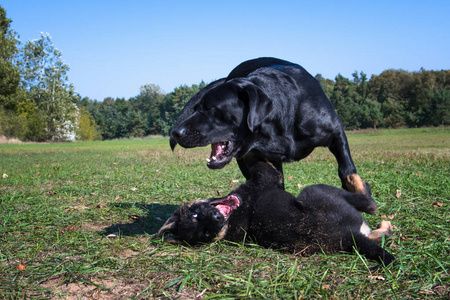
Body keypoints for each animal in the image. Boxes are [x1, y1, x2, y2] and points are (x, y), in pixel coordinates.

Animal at [157, 162, 394, 270]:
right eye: (205, 234)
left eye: (196, 214)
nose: (216, 219)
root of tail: (348, 237)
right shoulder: (266, 174)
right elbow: (263, 165)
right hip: (316, 191)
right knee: (370, 204)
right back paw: (357, 183)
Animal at [170, 56, 376, 211]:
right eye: (196, 108)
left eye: (210, 108)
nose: (176, 132)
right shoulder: (260, 156)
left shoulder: (335, 132)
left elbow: (347, 170)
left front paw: (361, 196)